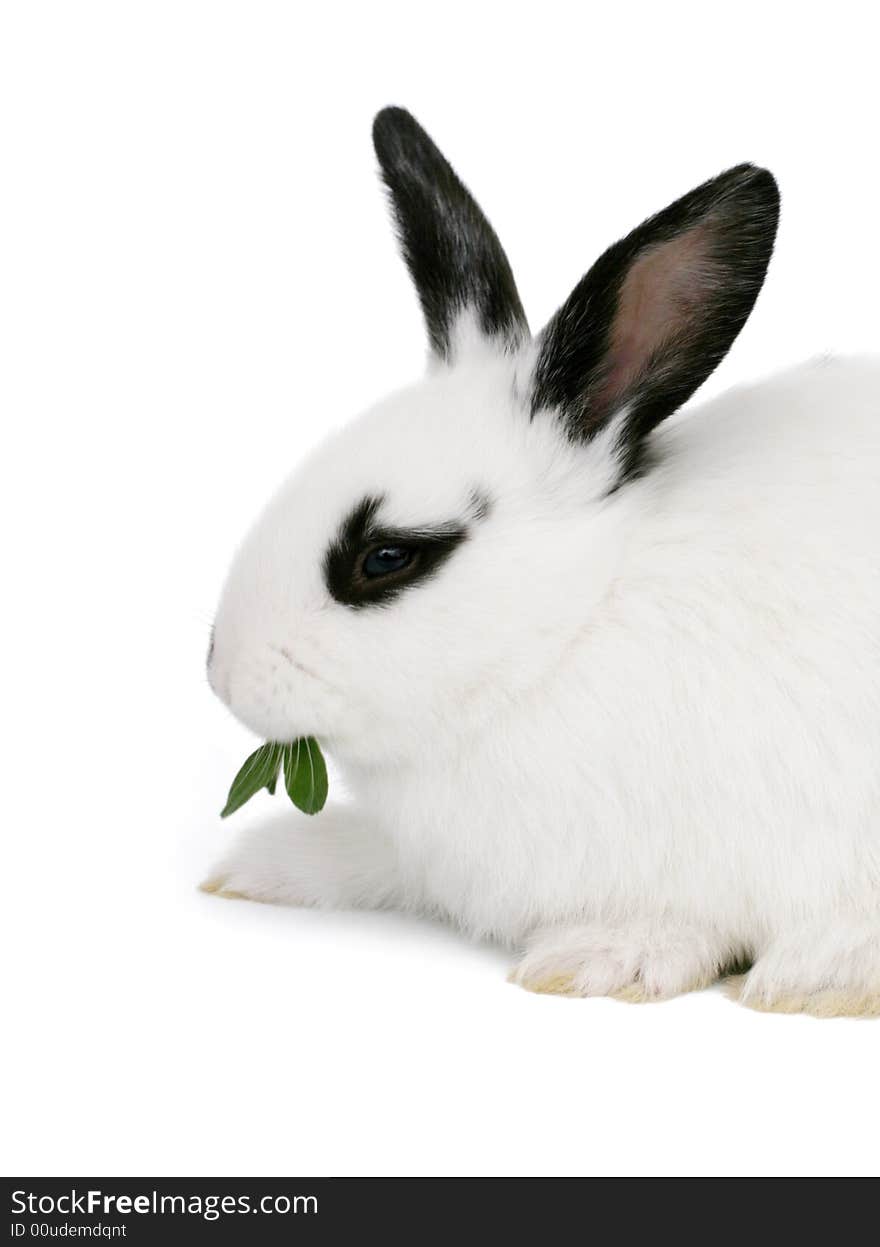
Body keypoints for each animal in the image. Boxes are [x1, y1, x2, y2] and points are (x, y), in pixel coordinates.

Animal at [200, 107, 877, 1017]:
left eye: (386, 556)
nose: (220, 673)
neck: (571, 629)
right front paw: (260, 864)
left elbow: (680, 924)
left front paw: (606, 961)